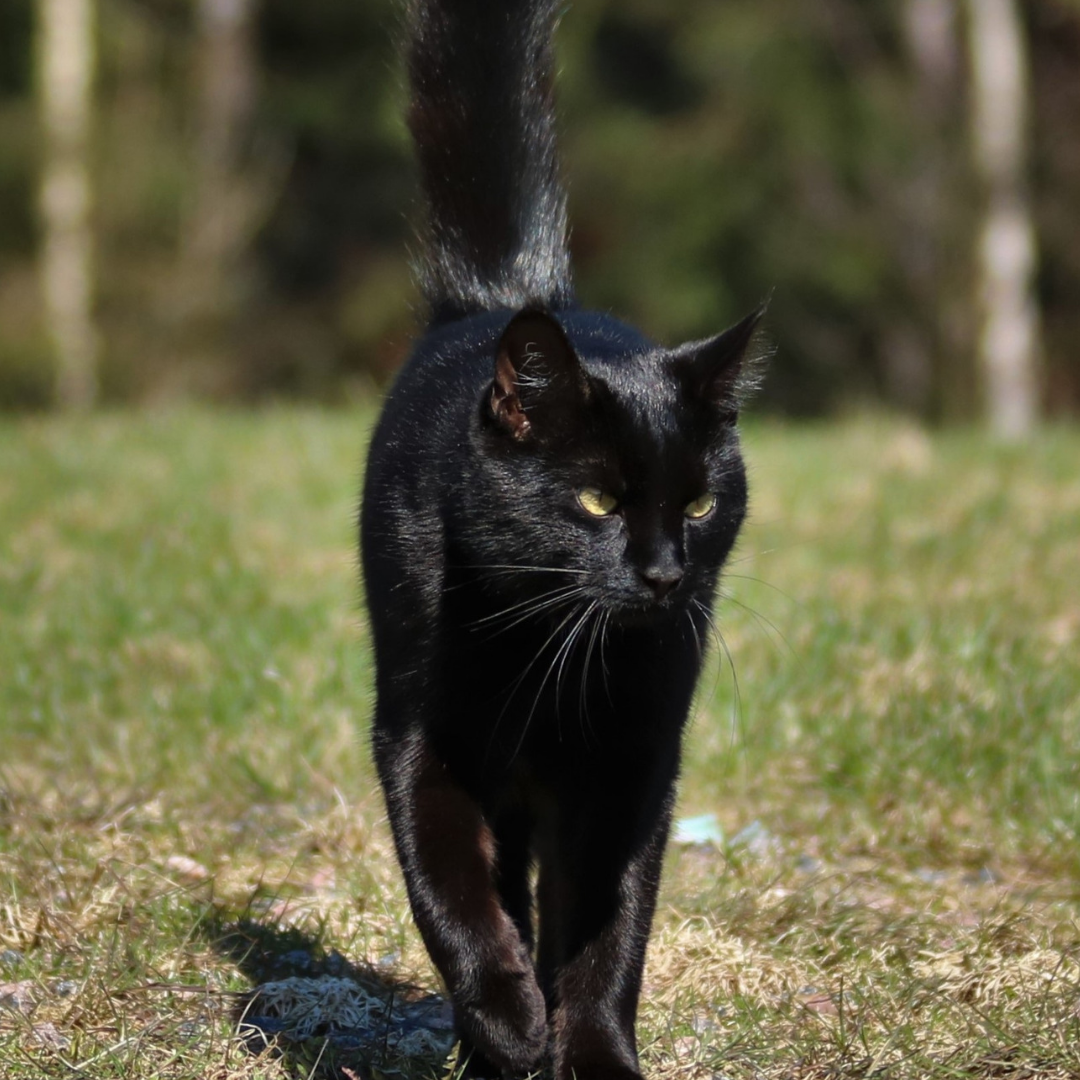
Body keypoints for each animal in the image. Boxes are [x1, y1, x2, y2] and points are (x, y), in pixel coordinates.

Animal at [360, 2, 760, 1080]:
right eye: (595, 502)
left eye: (699, 506)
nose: (663, 574)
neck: (550, 657)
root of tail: (510, 292)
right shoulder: (420, 738)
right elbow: (450, 893)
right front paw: (506, 1019)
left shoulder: (634, 762)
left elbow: (607, 928)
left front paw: (590, 1054)